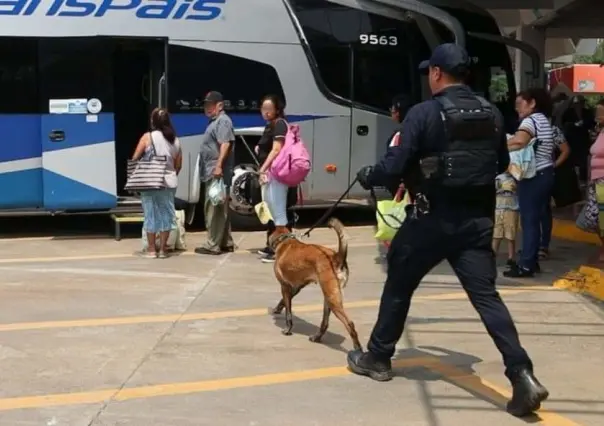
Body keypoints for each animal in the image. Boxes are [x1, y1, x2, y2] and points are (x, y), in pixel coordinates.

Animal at [268, 220, 360, 350]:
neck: (284, 240)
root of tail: (336, 257)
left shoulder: (285, 286)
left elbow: (288, 313)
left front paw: (287, 330)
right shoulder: (296, 287)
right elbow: (284, 301)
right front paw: (277, 308)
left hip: (332, 299)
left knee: (349, 324)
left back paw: (358, 348)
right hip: (329, 297)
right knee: (325, 323)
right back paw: (317, 337)